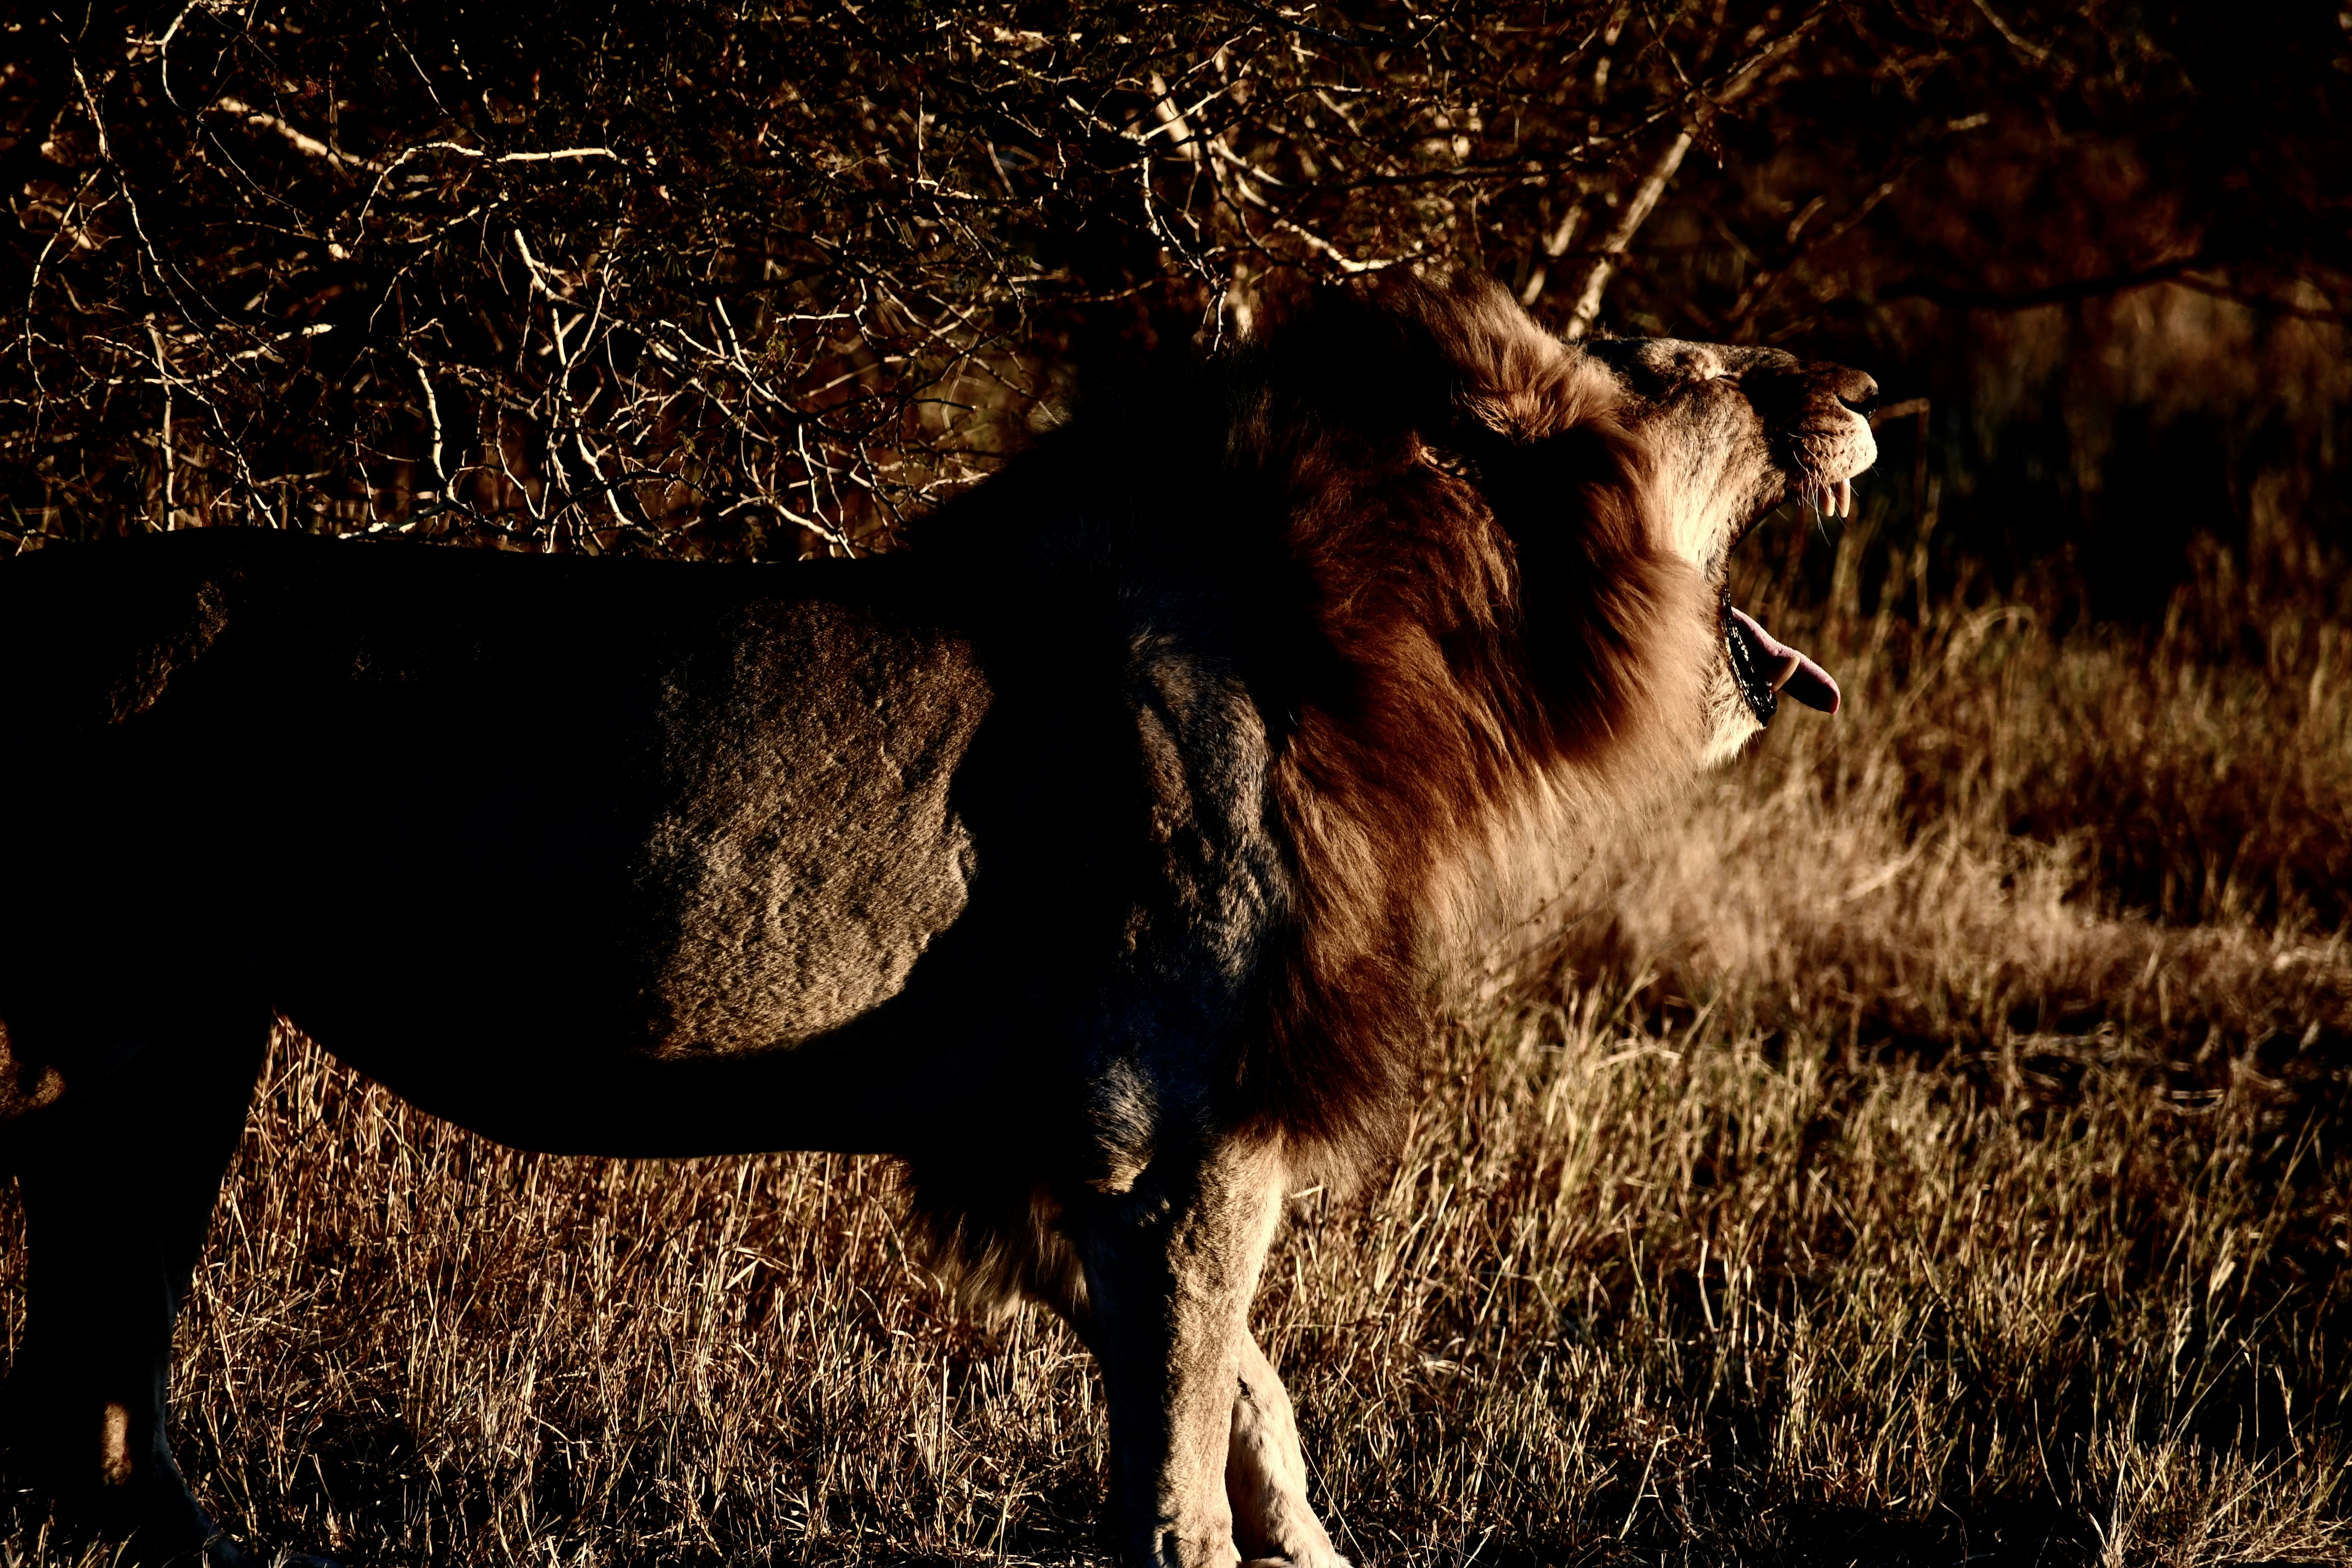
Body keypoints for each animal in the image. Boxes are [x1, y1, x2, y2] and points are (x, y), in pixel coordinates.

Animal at [0, 278, 1875, 1568]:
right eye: (1684, 369)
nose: (1860, 386)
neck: (1390, 636)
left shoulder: (1055, 1157)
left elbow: (1252, 1405)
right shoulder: (1164, 1139)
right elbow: (1185, 1456)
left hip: (177, 1053)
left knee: (96, 1359)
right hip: (96, 1036)